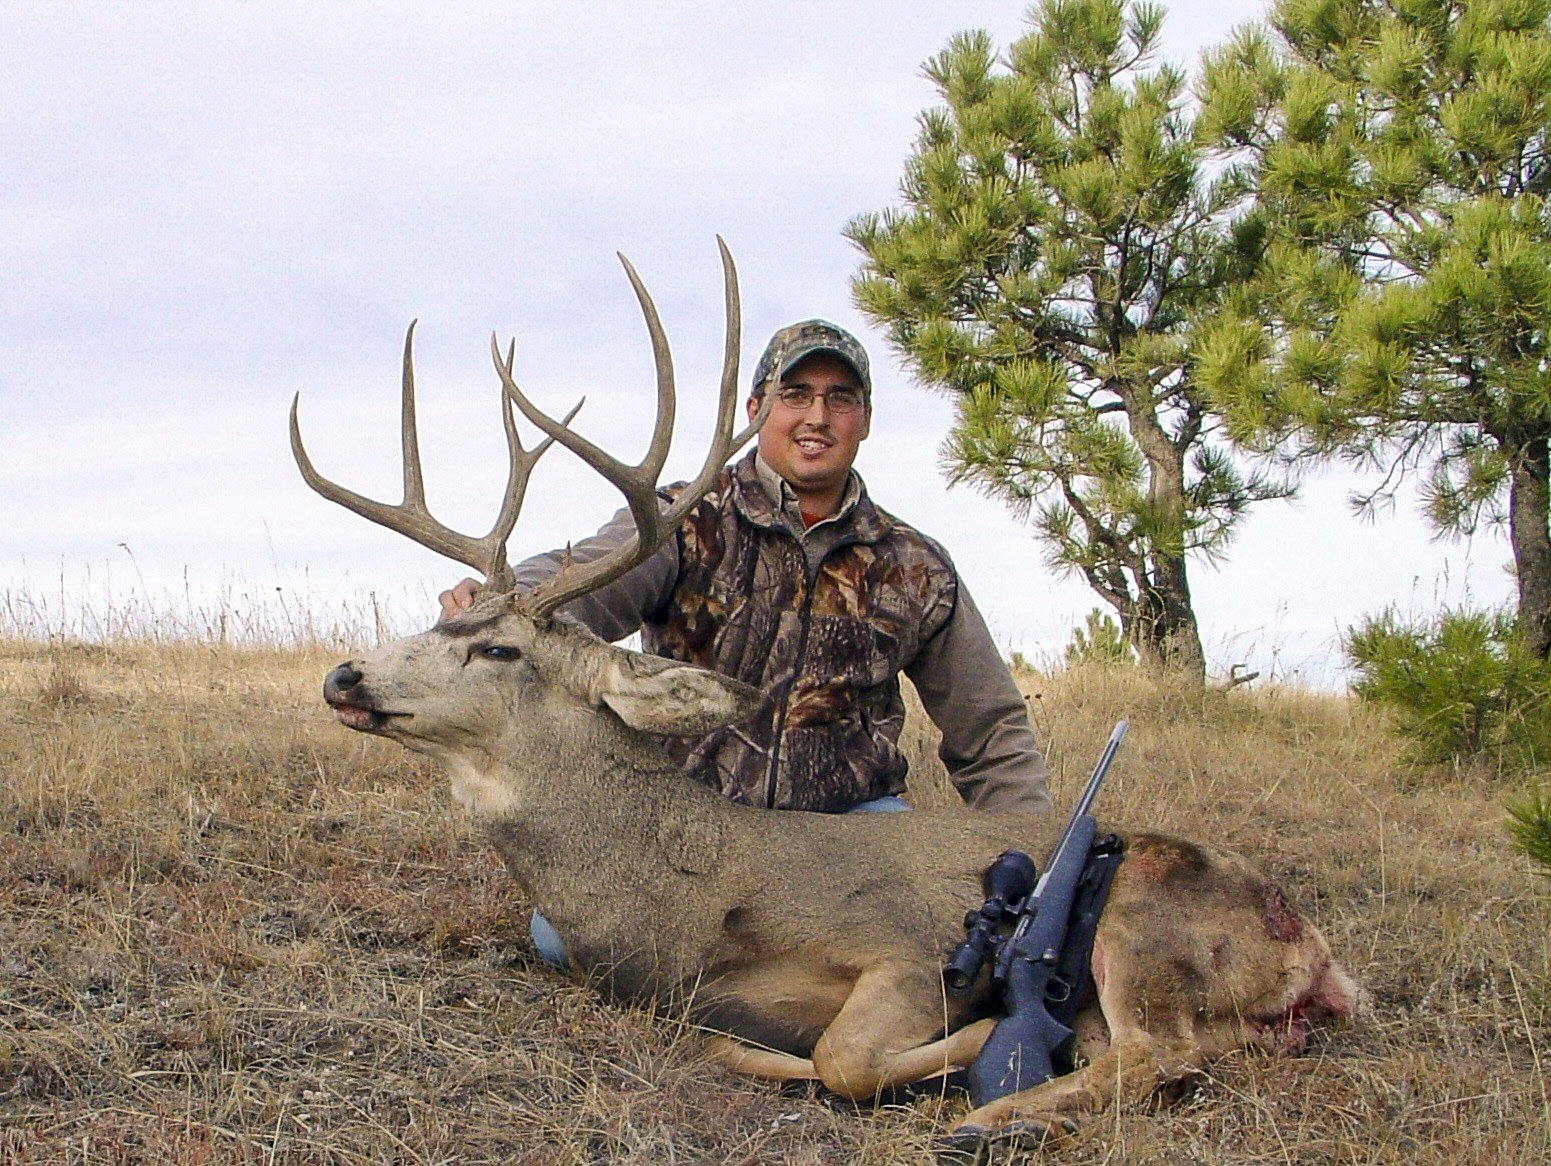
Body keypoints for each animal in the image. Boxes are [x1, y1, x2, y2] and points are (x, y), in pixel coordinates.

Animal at [290, 240, 1362, 1153]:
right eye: (446, 623)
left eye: (501, 649)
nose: (345, 675)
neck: (692, 893)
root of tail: (1317, 952)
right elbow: (738, 1048)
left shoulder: (905, 945)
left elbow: (848, 1057)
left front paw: (976, 1050)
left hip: (1143, 912)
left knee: (1158, 1056)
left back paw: (992, 1114)